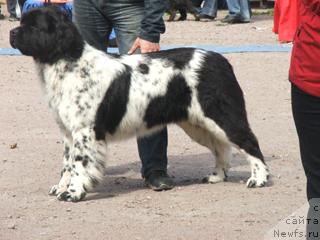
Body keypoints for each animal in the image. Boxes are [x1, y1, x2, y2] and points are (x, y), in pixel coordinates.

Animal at [10, 7, 268, 201]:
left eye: (33, 27)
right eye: (22, 22)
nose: (11, 33)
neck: (69, 63)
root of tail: (220, 59)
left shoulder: (85, 131)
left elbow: (80, 163)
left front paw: (73, 193)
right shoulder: (67, 131)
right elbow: (67, 163)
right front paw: (62, 187)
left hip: (221, 115)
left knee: (248, 141)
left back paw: (259, 179)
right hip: (197, 124)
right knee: (221, 148)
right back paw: (216, 176)